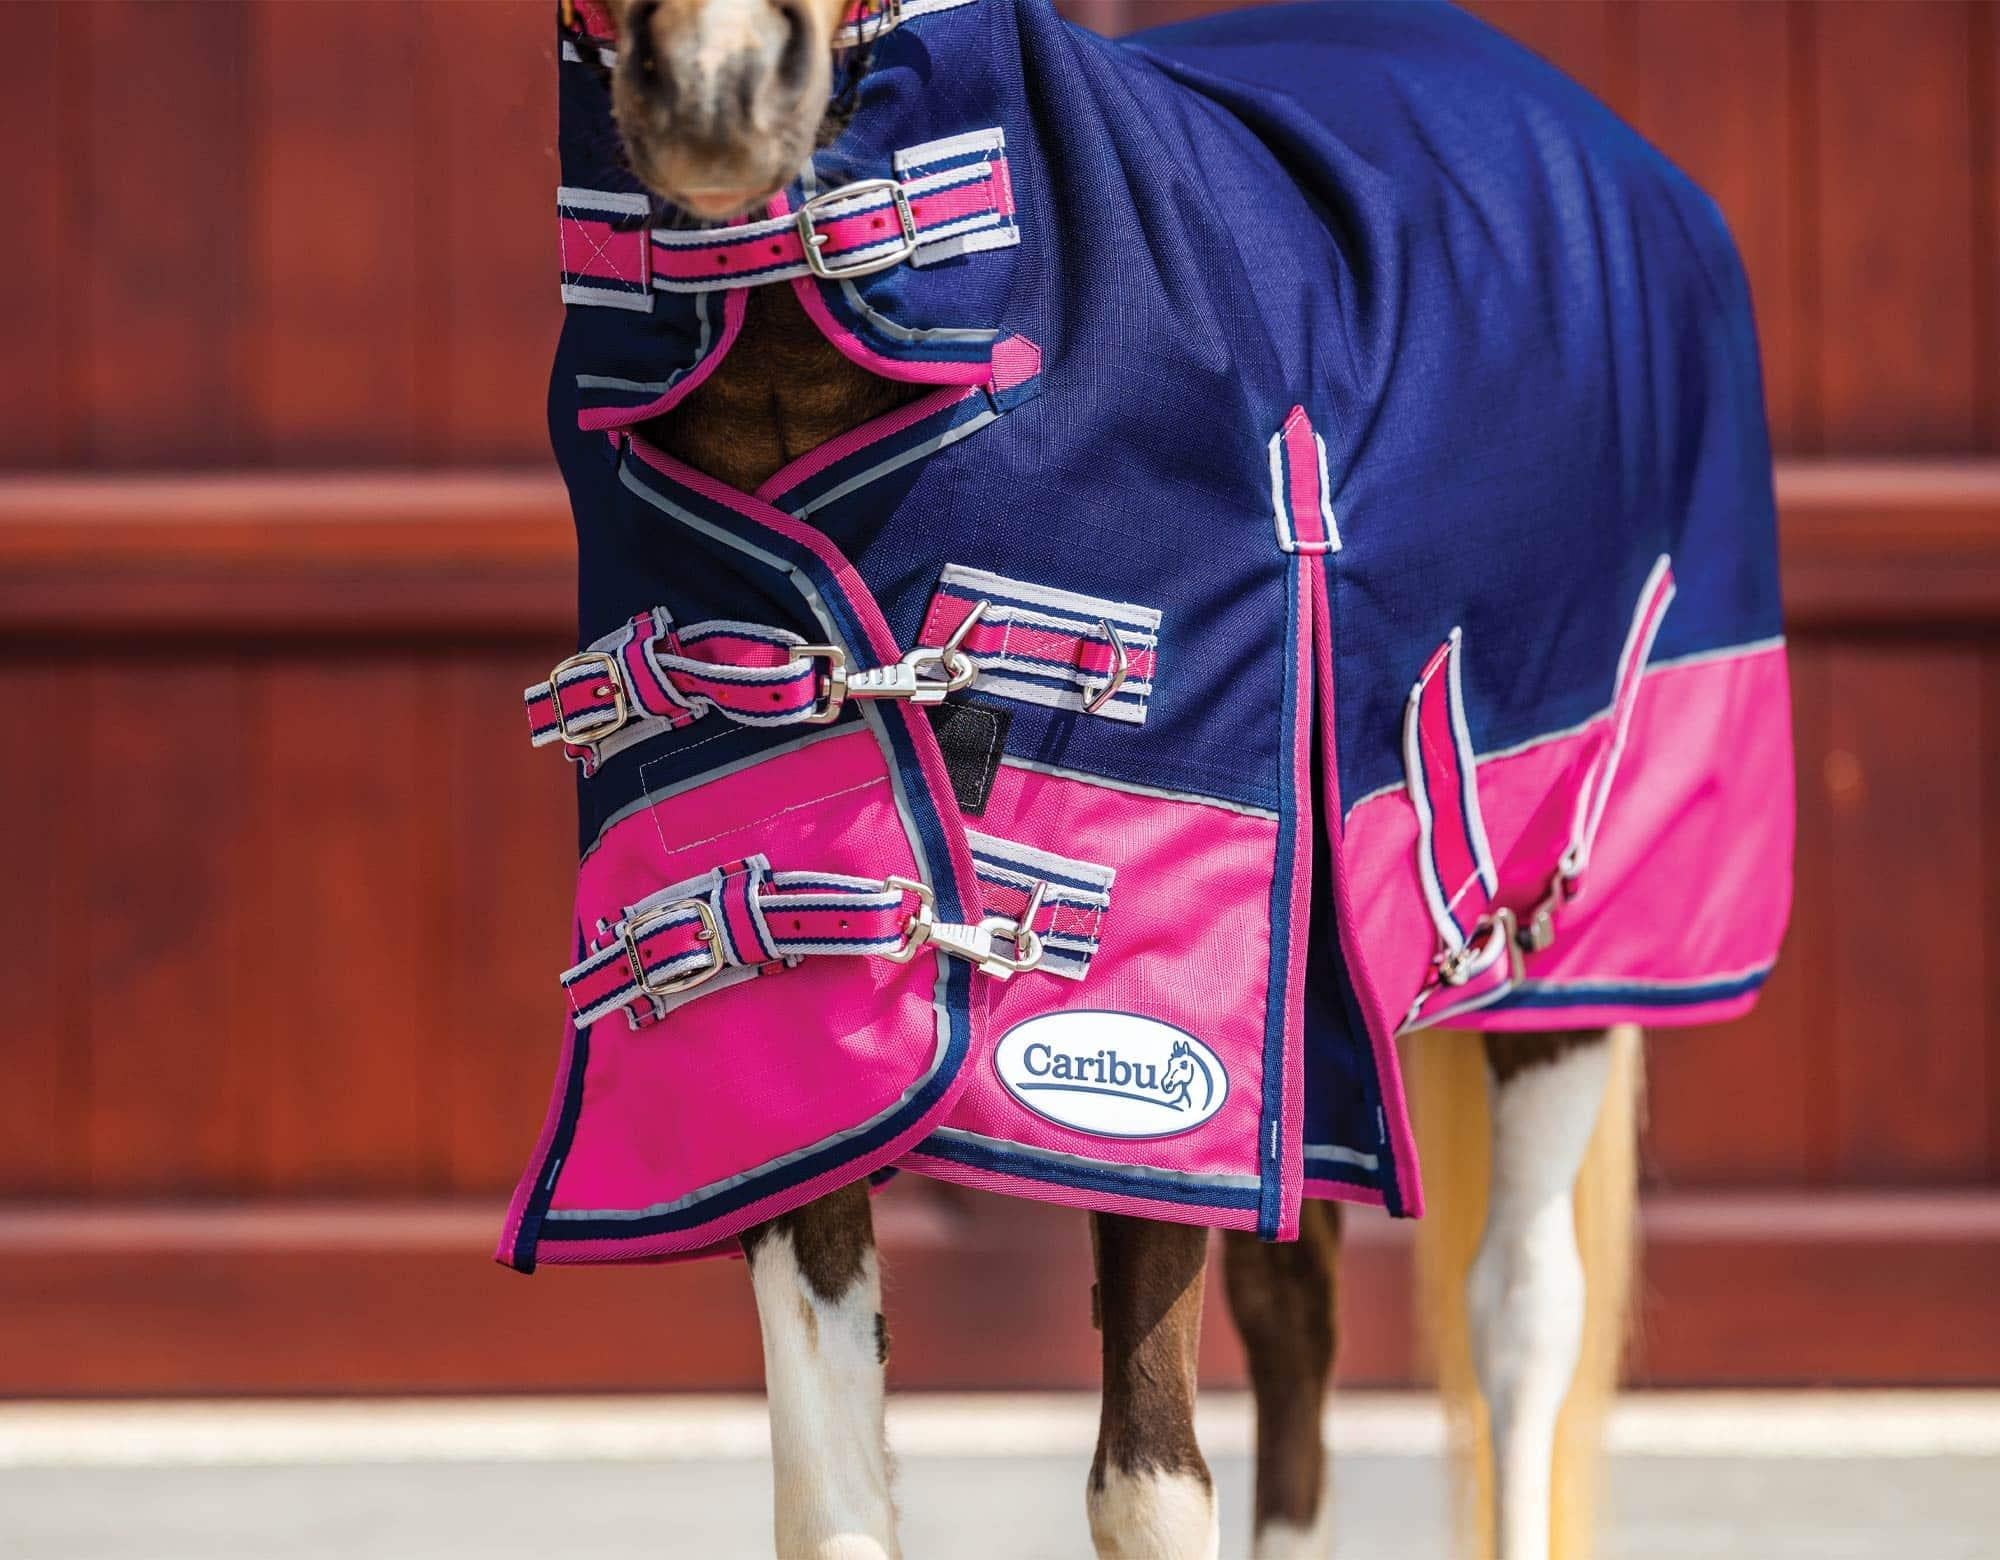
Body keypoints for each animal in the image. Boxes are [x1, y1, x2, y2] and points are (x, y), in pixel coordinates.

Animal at [523, 1, 1784, 1555]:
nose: (717, 99)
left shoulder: (1168, 1046)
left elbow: (1146, 1482)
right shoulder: (785, 1055)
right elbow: (833, 1497)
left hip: (1563, 966)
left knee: (1521, 1320)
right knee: (1300, 1311)